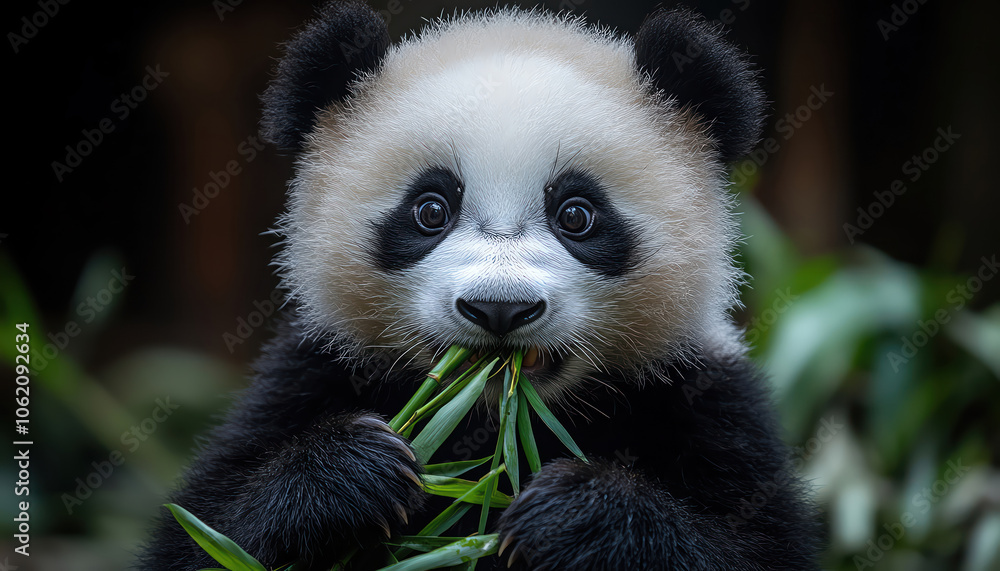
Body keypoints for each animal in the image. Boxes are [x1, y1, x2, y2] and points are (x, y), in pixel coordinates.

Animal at [140, 1, 819, 570]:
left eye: (577, 215)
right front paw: (350, 473)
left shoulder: (706, 401)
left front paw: (575, 515)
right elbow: (206, 535)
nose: (499, 309)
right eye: (430, 210)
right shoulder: (307, 377)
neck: (495, 421)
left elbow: (755, 547)